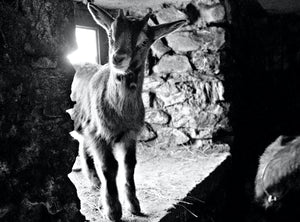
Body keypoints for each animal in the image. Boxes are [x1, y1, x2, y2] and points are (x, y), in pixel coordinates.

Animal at [68, 3, 185, 220]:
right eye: (110, 34)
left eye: (144, 41)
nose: (118, 58)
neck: (120, 113)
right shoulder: (98, 133)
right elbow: (109, 166)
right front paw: (113, 210)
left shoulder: (131, 134)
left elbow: (129, 165)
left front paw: (134, 206)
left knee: (81, 144)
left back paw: (94, 181)